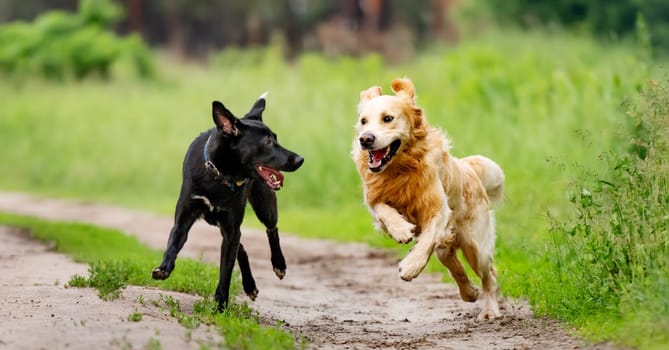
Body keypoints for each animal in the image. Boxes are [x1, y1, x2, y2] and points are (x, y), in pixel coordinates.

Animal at [151, 93, 302, 308]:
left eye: (276, 138)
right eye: (267, 142)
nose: (300, 159)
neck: (220, 175)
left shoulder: (231, 228)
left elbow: (226, 273)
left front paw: (221, 306)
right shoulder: (185, 218)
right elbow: (173, 243)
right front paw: (164, 268)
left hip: (264, 206)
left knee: (271, 229)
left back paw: (278, 264)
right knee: (242, 246)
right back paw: (250, 285)